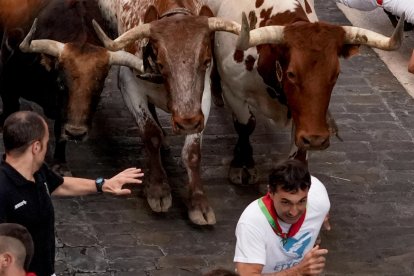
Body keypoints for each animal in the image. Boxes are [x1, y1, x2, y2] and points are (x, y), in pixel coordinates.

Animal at [0, 0, 142, 172]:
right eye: (61, 83)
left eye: (99, 88)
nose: (76, 133)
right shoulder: (8, 86)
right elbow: (11, 114)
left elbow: (60, 128)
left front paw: (60, 162)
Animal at [94, 0, 241, 224]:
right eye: (162, 64)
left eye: (206, 61)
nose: (186, 122)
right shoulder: (128, 86)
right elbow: (150, 134)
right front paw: (157, 188)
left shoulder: (202, 100)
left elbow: (192, 152)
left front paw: (199, 203)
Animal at [205, 0, 402, 185]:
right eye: (291, 74)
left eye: (336, 74)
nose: (316, 140)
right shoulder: (233, 91)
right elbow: (245, 126)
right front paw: (242, 165)